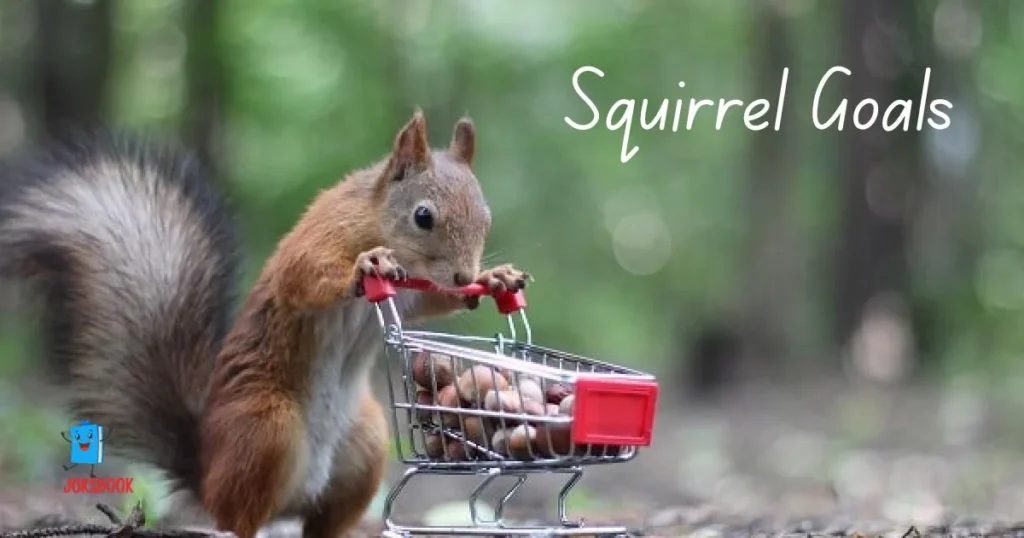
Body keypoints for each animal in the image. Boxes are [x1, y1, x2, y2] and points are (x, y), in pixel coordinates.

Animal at [0, 110, 528, 538]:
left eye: (486, 217)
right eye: (423, 216)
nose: (464, 275)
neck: (377, 220)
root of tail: (206, 470)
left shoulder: (417, 293)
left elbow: (431, 301)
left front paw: (494, 278)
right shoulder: (321, 237)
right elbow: (304, 279)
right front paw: (366, 265)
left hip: (365, 443)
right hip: (264, 426)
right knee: (238, 517)